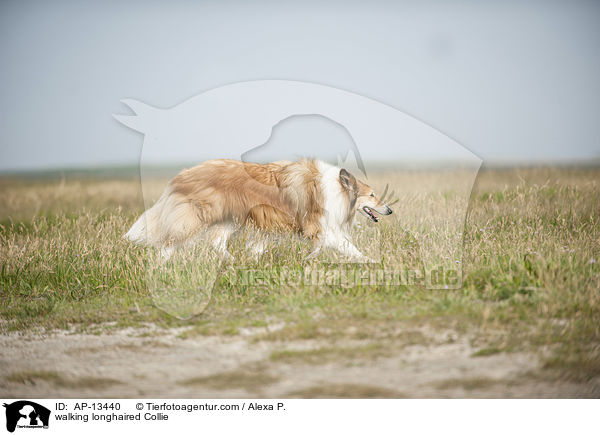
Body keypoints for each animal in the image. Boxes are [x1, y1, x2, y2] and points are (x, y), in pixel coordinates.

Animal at [124, 160, 392, 262]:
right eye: (372, 195)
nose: (389, 210)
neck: (337, 189)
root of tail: (182, 175)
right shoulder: (322, 227)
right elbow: (350, 248)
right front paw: (373, 262)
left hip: (230, 219)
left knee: (216, 243)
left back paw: (233, 262)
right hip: (197, 217)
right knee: (170, 242)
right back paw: (161, 265)